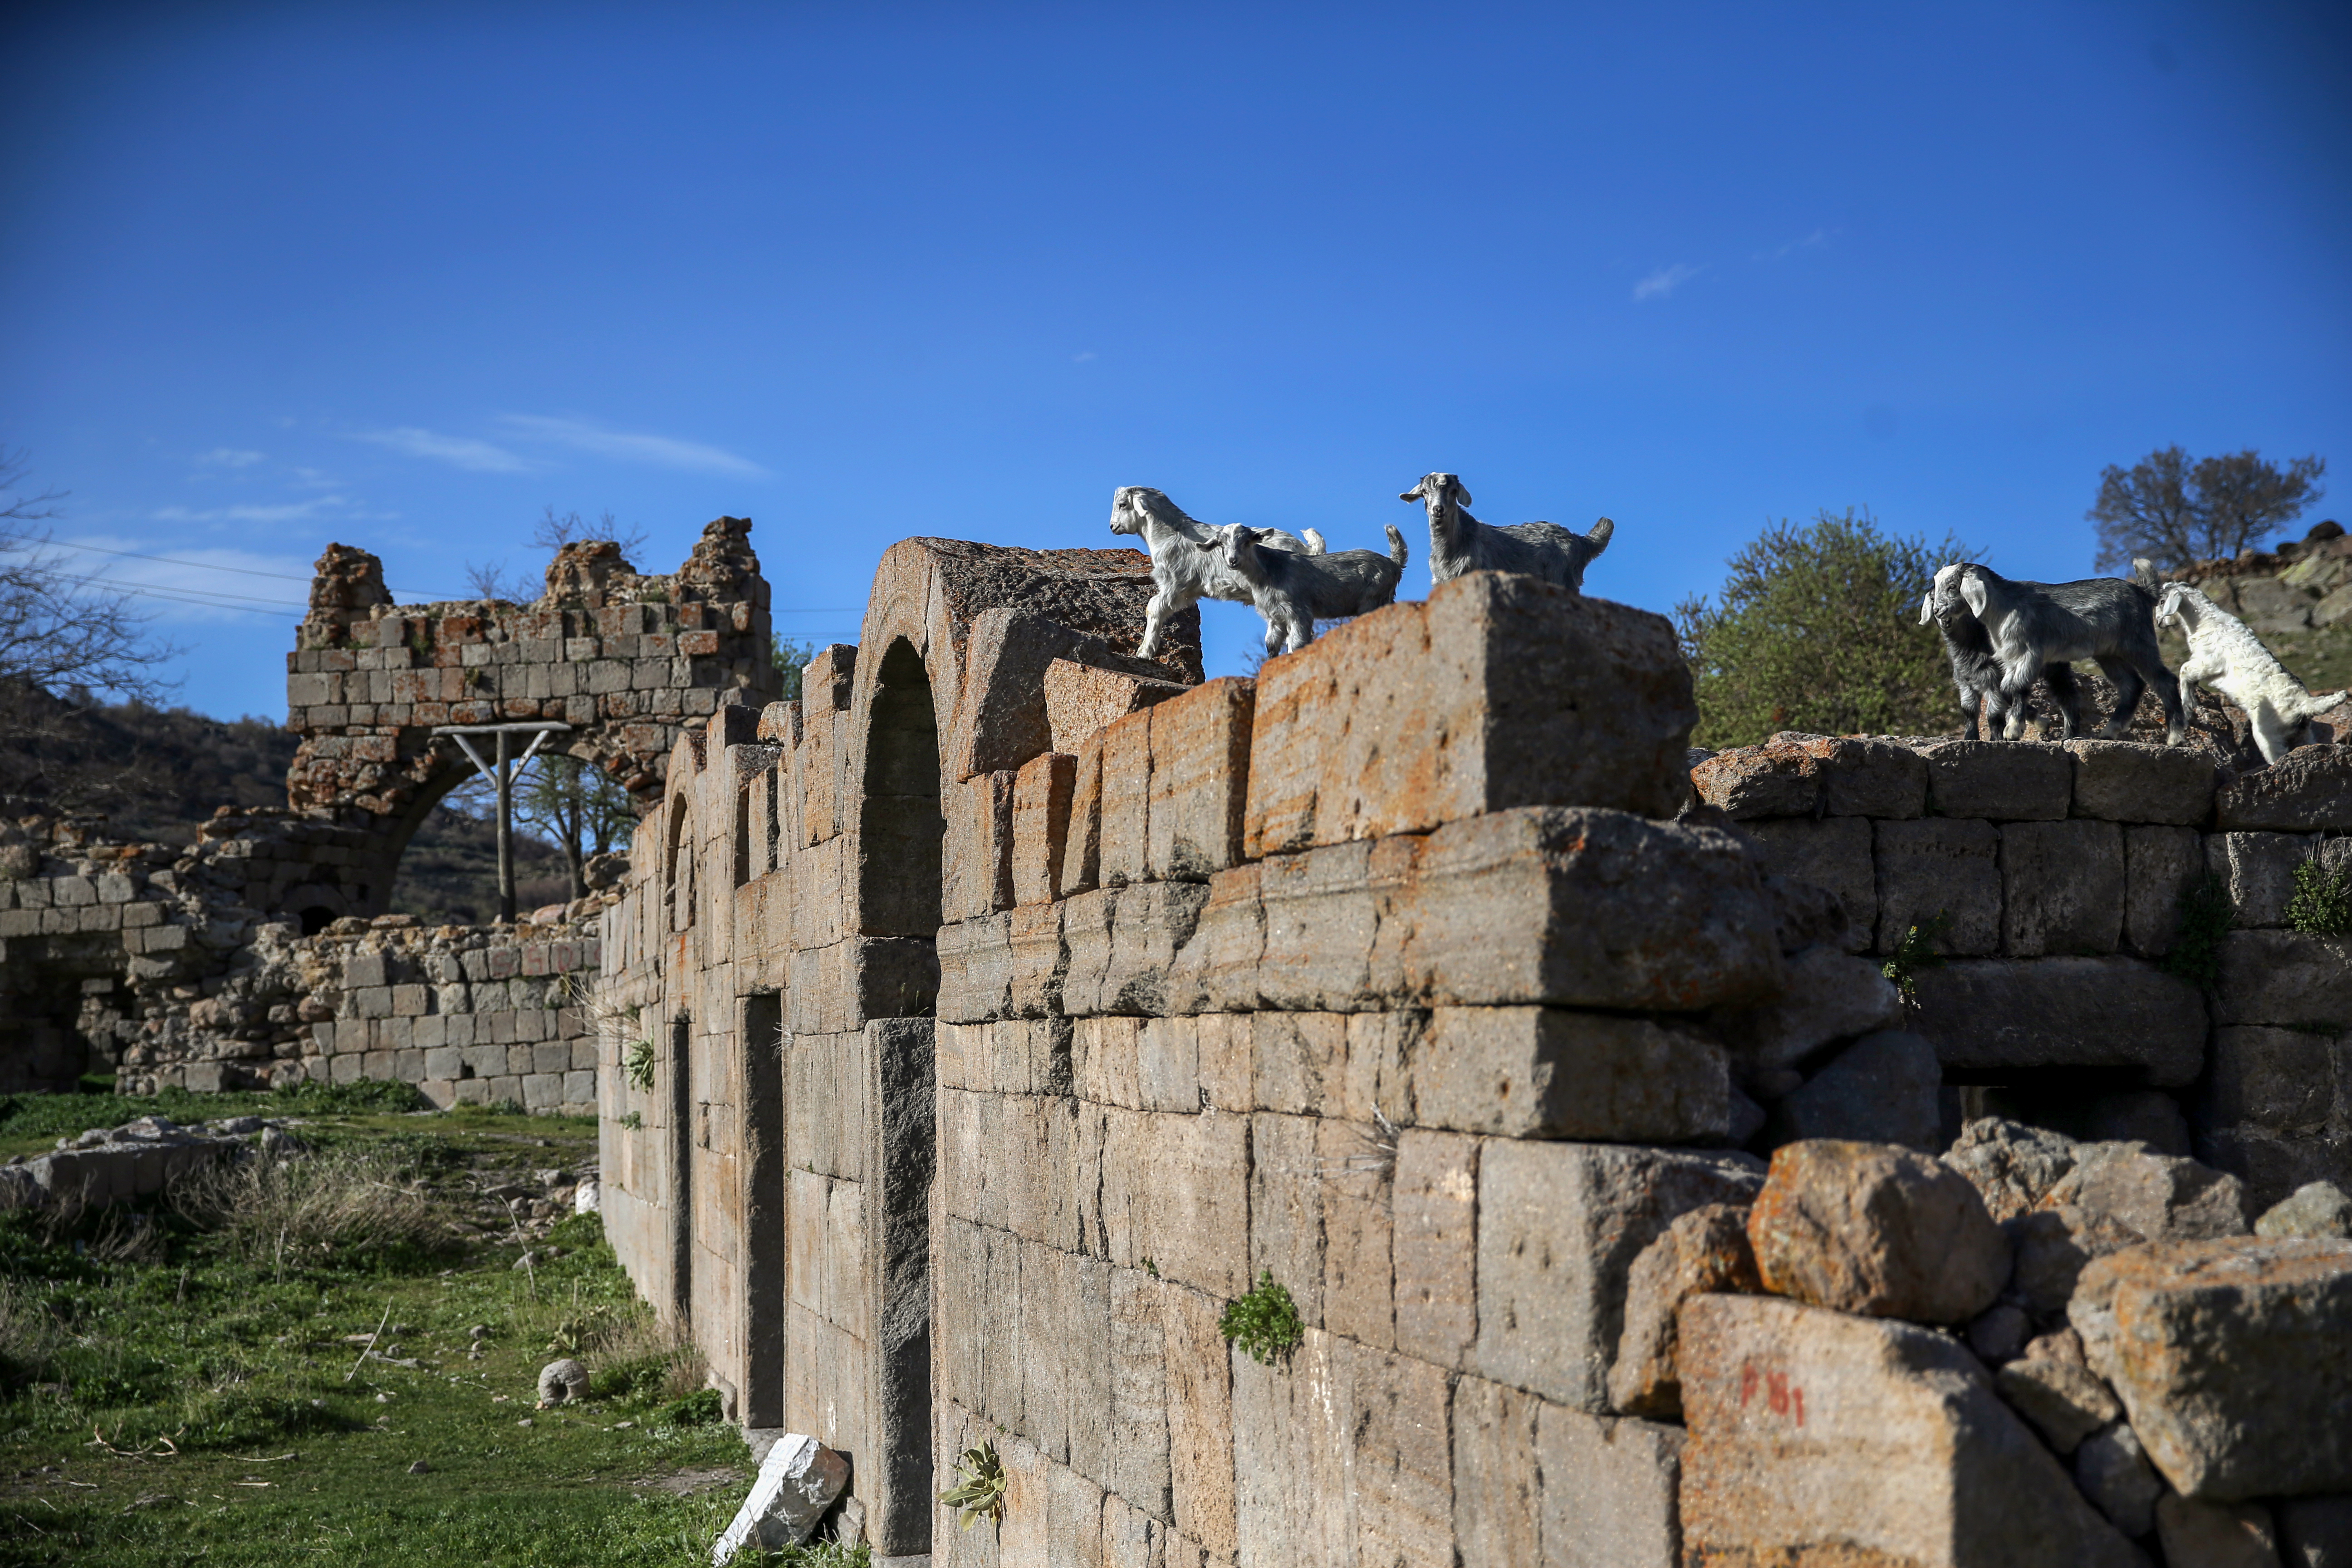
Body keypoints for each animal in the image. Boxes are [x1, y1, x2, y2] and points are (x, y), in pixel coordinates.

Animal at [1105, 491, 1326, 663]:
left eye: (1122, 504)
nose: (1113, 527)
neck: (1171, 534)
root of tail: (1308, 550)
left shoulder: (1174, 584)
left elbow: (1154, 607)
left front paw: (1144, 652)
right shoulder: (1188, 590)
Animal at [1223, 522, 1401, 658]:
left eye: (1246, 542)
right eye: (1223, 544)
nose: (1233, 561)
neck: (1270, 569)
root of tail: (1394, 563)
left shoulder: (1298, 612)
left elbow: (1296, 643)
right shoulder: (1275, 617)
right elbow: (1271, 646)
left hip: (1372, 600)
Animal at [1928, 557, 2182, 743]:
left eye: (1952, 586)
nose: (1938, 611)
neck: (2004, 608)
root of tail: (2144, 593)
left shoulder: (2028, 654)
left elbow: (2017, 688)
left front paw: (2013, 731)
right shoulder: (2010, 660)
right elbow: (2008, 689)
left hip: (2139, 643)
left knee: (2165, 681)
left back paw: (2175, 738)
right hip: (2109, 653)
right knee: (2132, 684)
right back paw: (2110, 731)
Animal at [2154, 583, 2333, 766]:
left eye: (2162, 601)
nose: (2159, 622)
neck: (2207, 621)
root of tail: (2306, 704)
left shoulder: (2210, 663)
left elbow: (2184, 670)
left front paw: (2188, 707)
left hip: (2268, 734)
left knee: (2277, 755)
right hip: (2303, 735)